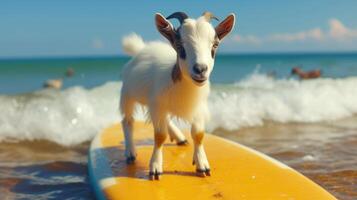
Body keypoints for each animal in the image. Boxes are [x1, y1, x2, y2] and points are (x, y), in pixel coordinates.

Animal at [121, 11, 235, 180]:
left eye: (215, 45)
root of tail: (141, 49)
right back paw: (130, 153)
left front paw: (202, 164)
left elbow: (198, 134)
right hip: (127, 94)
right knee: (127, 121)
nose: (200, 69)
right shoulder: (157, 106)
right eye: (180, 46)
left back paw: (180, 137)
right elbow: (160, 136)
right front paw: (155, 168)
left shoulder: (198, 108)